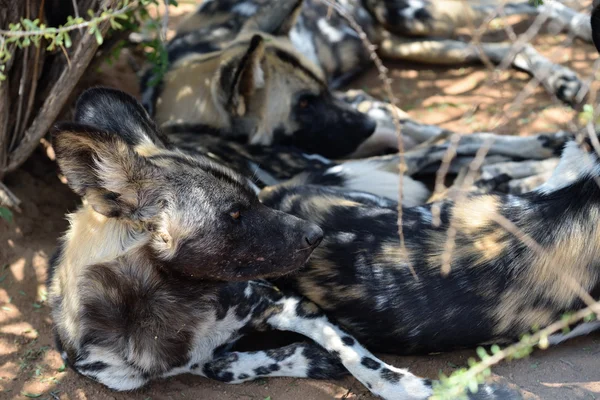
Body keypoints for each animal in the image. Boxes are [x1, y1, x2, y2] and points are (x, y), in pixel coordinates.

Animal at [48, 88, 524, 400]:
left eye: (253, 198)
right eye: (234, 214)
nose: (316, 235)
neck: (172, 303)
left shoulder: (285, 302)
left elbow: (364, 363)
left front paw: (418, 387)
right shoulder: (176, 361)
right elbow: (221, 368)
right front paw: (306, 359)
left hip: (312, 171)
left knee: (437, 147)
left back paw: (522, 162)